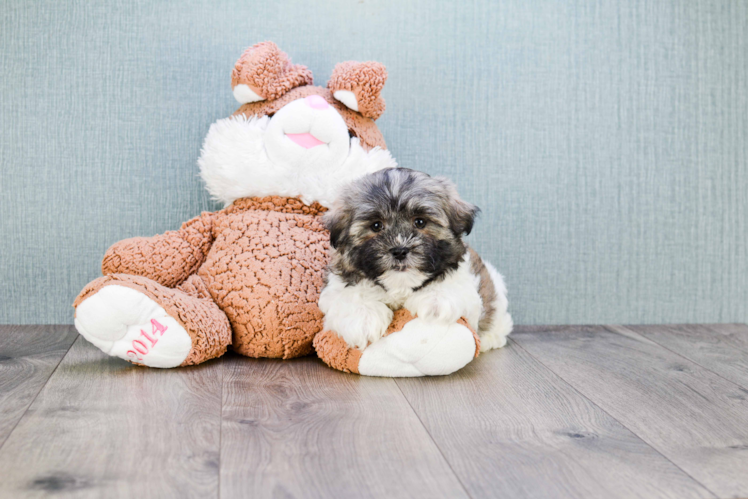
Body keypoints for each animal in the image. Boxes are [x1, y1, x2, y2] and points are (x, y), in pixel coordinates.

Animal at [318, 168, 512, 352]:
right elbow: (350, 294)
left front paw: (434, 301)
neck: (400, 286)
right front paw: (364, 318)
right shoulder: (338, 285)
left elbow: (450, 285)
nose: (400, 250)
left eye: (420, 222)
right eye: (376, 225)